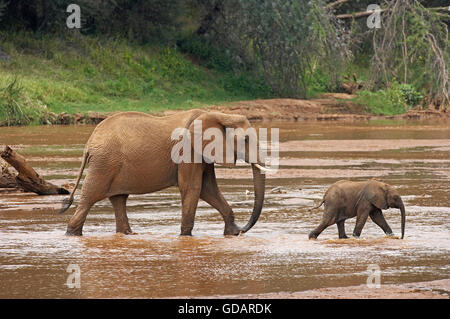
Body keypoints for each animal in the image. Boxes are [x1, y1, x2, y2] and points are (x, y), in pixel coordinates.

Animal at [58, 110, 268, 238]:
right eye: (246, 139)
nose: (242, 229)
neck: (217, 114)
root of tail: (89, 143)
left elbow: (208, 189)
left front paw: (231, 233)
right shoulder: (187, 151)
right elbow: (193, 188)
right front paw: (185, 237)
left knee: (118, 199)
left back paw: (127, 234)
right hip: (103, 165)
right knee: (89, 198)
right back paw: (72, 234)